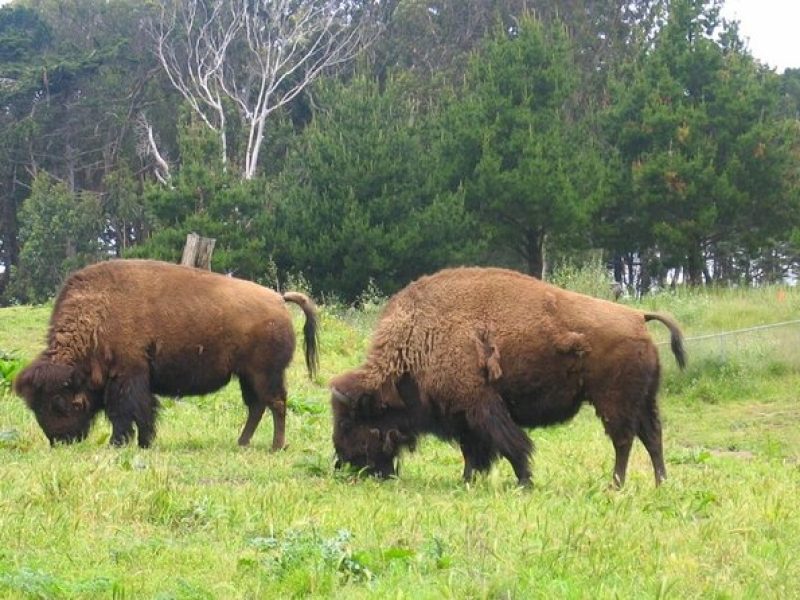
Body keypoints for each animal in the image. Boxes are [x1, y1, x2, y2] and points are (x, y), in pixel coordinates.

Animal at [14, 258, 318, 450]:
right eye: (34, 406)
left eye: (59, 403)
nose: (59, 440)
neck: (97, 317)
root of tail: (278, 299)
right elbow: (145, 412)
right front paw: (144, 442)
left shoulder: (127, 377)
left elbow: (125, 413)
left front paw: (119, 444)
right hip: (247, 376)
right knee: (257, 406)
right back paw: (242, 443)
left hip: (265, 374)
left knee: (276, 404)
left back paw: (275, 446)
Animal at [328, 268, 684, 488]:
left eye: (347, 422)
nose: (343, 462)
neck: (418, 340)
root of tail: (637, 316)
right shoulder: (463, 417)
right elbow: (473, 452)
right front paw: (468, 480)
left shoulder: (481, 408)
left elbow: (511, 445)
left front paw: (524, 481)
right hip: (644, 401)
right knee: (652, 438)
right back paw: (660, 483)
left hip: (614, 403)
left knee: (624, 441)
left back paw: (616, 485)